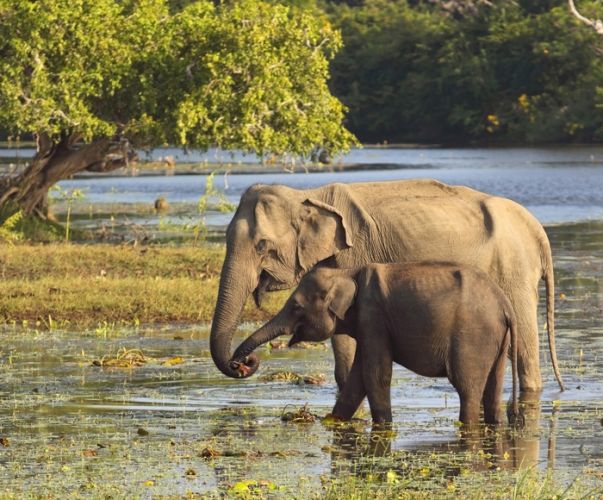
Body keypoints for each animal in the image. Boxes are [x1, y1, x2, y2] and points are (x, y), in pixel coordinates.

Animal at [209, 178, 568, 392]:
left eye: (261, 246)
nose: (243, 364)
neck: (308, 197)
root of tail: (537, 230)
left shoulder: (355, 254)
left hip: (514, 268)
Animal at [231, 262, 520, 426]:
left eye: (297, 307)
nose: (243, 364)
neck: (347, 272)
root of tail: (506, 306)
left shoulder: (373, 317)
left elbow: (374, 375)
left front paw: (383, 426)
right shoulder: (366, 324)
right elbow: (357, 379)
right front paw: (331, 420)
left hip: (473, 337)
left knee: (467, 388)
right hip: (497, 341)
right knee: (493, 389)